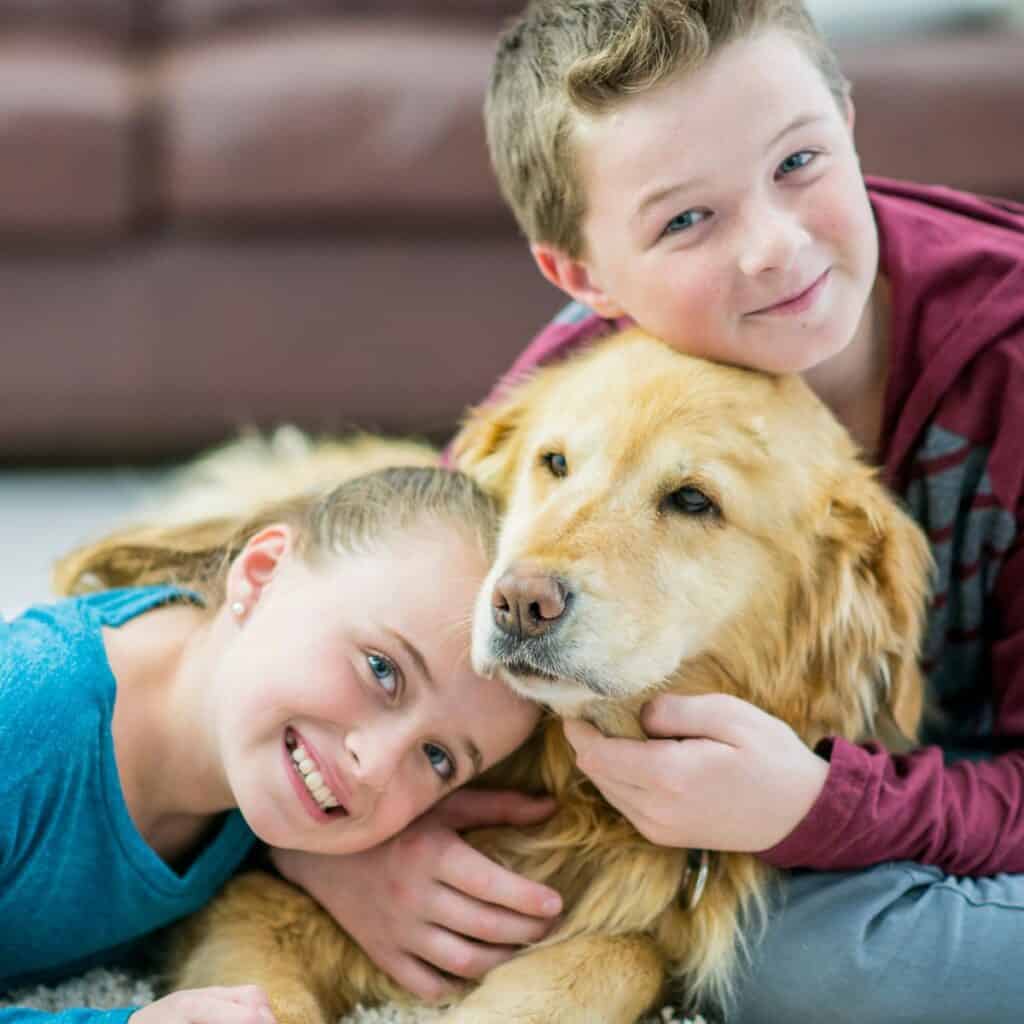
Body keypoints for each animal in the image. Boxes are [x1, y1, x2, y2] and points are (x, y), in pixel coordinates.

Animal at [163, 329, 933, 1024]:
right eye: (554, 461)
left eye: (694, 501)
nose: (520, 603)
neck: (574, 794)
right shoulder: (252, 897)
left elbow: (619, 955)